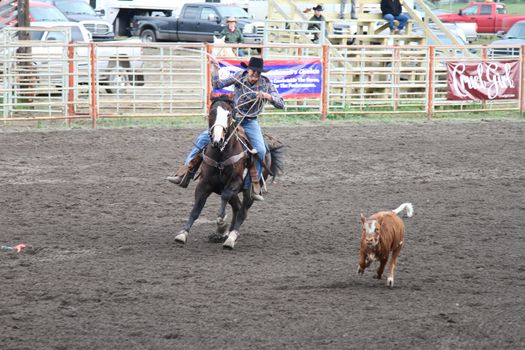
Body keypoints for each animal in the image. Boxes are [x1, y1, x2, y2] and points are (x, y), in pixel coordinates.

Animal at [174, 95, 282, 249]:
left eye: (229, 114)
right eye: (212, 112)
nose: (217, 139)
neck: (221, 153)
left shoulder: (235, 183)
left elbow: (224, 197)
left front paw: (221, 224)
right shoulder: (203, 184)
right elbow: (196, 209)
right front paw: (183, 234)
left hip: (249, 191)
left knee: (243, 211)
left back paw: (231, 238)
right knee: (237, 207)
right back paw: (226, 234)